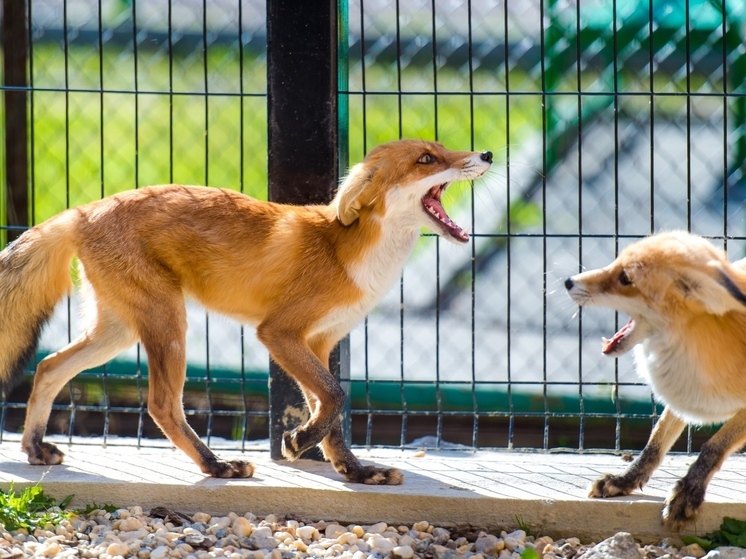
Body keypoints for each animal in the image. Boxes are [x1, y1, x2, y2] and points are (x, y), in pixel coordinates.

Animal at [0, 139, 494, 482]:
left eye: (444, 147)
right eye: (426, 159)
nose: (487, 152)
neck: (350, 256)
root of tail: (83, 209)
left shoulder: (322, 340)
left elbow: (331, 412)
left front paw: (354, 471)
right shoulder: (279, 333)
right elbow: (335, 397)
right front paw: (298, 441)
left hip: (117, 332)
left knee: (48, 366)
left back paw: (34, 448)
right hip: (168, 324)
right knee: (161, 405)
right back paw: (214, 466)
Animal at [564, 231, 744, 528]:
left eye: (625, 278)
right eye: (615, 262)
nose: (568, 281)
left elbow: (713, 447)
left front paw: (688, 491)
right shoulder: (683, 387)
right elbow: (655, 443)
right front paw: (625, 480)